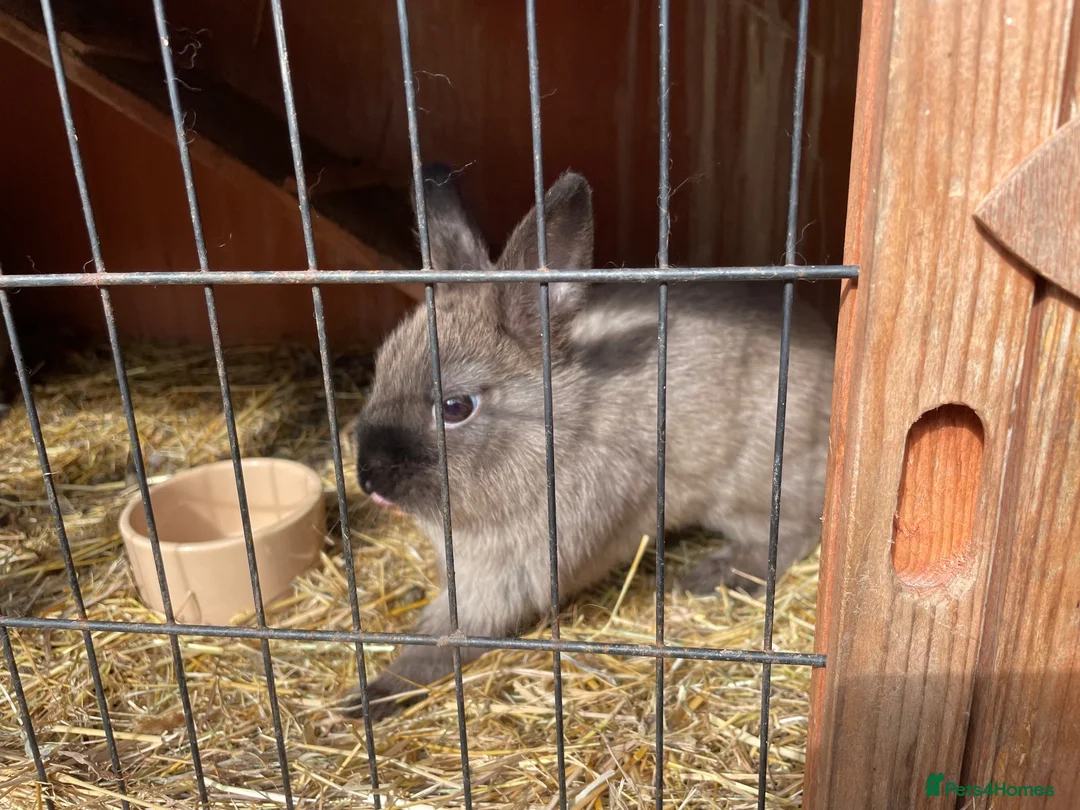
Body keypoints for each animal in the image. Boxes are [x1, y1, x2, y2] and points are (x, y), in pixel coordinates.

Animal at [339, 164, 836, 721]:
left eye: (455, 407)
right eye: (381, 366)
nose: (368, 476)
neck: (551, 431)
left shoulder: (506, 578)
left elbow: (446, 641)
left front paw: (371, 698)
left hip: (758, 484)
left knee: (790, 535)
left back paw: (712, 576)